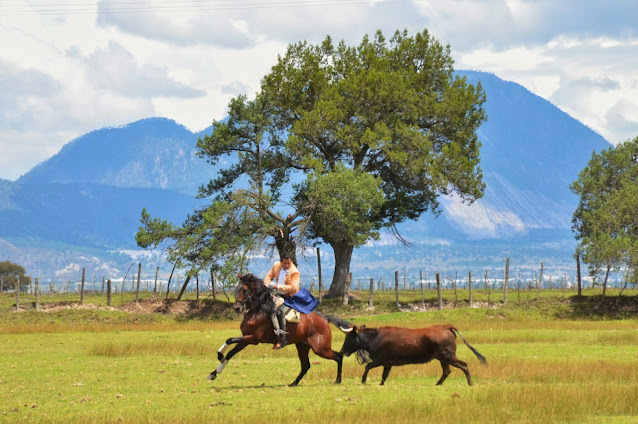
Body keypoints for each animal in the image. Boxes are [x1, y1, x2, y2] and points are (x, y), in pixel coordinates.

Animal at [208, 274, 342, 386]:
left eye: (245, 290)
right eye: (237, 289)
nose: (237, 307)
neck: (257, 311)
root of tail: (325, 319)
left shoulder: (253, 339)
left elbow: (230, 340)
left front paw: (219, 356)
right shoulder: (246, 339)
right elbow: (231, 352)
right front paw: (214, 372)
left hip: (320, 348)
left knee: (338, 356)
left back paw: (338, 380)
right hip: (302, 346)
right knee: (306, 365)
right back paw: (293, 383)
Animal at [332, 316, 488, 386]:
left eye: (349, 337)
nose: (342, 350)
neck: (375, 338)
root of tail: (445, 326)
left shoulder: (380, 360)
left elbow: (367, 367)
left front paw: (363, 380)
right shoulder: (388, 363)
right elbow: (384, 376)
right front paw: (380, 384)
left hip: (448, 356)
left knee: (464, 365)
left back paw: (470, 383)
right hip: (443, 358)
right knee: (447, 371)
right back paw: (438, 384)